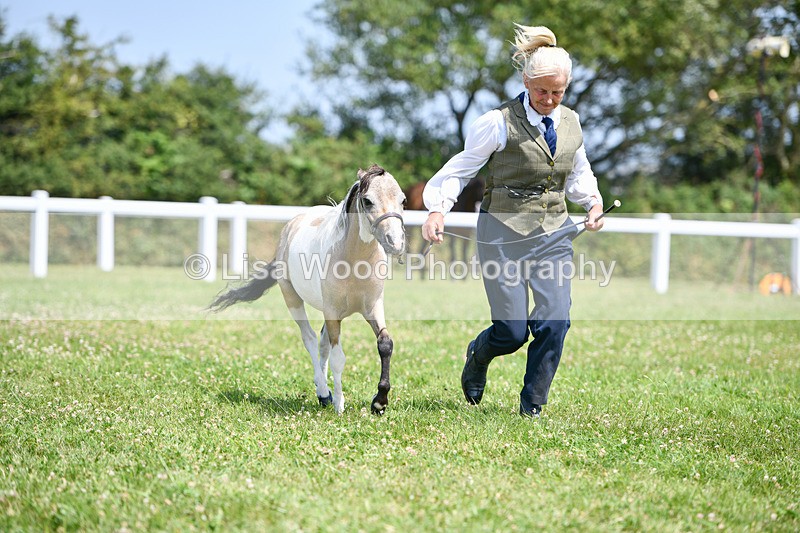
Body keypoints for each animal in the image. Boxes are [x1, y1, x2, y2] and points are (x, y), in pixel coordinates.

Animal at [208, 164, 406, 415]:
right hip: (293, 300)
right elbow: (338, 358)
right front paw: (339, 404)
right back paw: (323, 393)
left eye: (403, 200)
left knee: (321, 344)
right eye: (368, 200)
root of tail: (291, 226)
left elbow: (385, 345)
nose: (395, 242)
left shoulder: (372, 308)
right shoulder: (332, 313)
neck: (353, 260)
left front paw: (379, 402)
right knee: (310, 339)